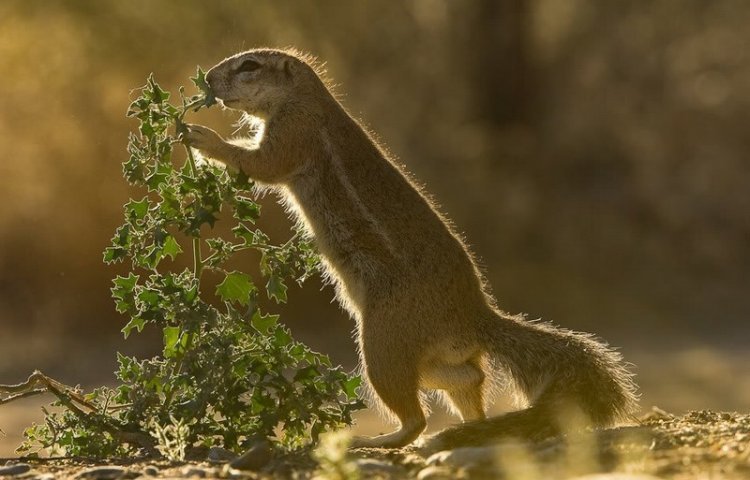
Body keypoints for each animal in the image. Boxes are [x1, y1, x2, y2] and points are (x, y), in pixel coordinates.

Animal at [185, 48, 636, 450]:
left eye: (249, 65)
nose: (208, 79)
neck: (306, 98)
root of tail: (476, 317)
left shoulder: (295, 132)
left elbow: (263, 165)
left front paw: (203, 138)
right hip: (435, 358)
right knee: (468, 380)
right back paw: (471, 427)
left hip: (382, 344)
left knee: (416, 417)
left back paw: (378, 441)